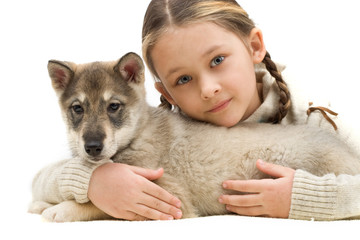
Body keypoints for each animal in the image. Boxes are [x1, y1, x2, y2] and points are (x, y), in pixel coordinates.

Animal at [35, 52, 360, 221]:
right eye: (77, 109)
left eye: (113, 106)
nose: (92, 147)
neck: (137, 135)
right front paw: (44, 203)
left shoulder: (168, 199)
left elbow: (100, 204)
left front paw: (61, 209)